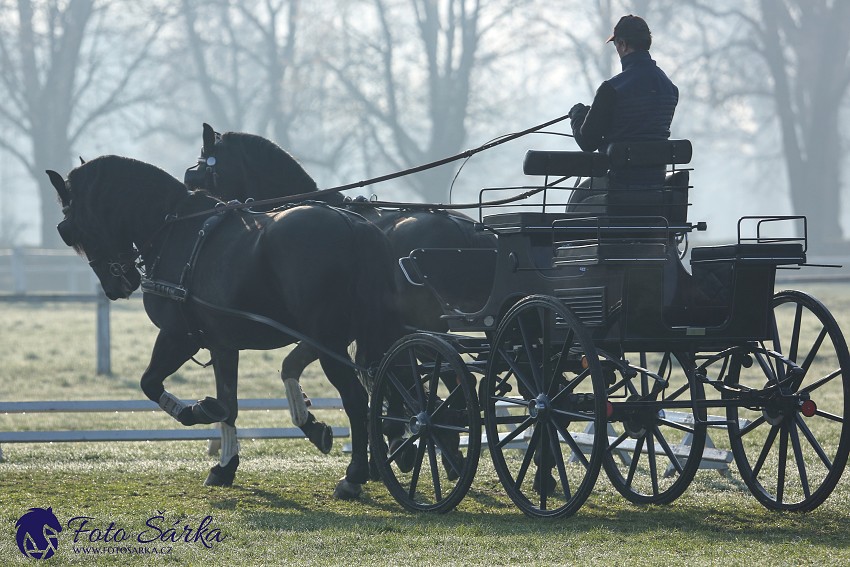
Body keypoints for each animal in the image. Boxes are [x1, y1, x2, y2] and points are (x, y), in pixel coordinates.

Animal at [46, 154, 404, 496]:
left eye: (70, 229)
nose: (116, 286)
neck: (175, 230)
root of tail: (354, 226)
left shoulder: (179, 336)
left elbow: (151, 384)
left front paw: (199, 412)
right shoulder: (223, 343)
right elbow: (229, 404)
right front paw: (225, 465)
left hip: (329, 342)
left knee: (357, 401)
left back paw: (353, 476)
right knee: (382, 393)